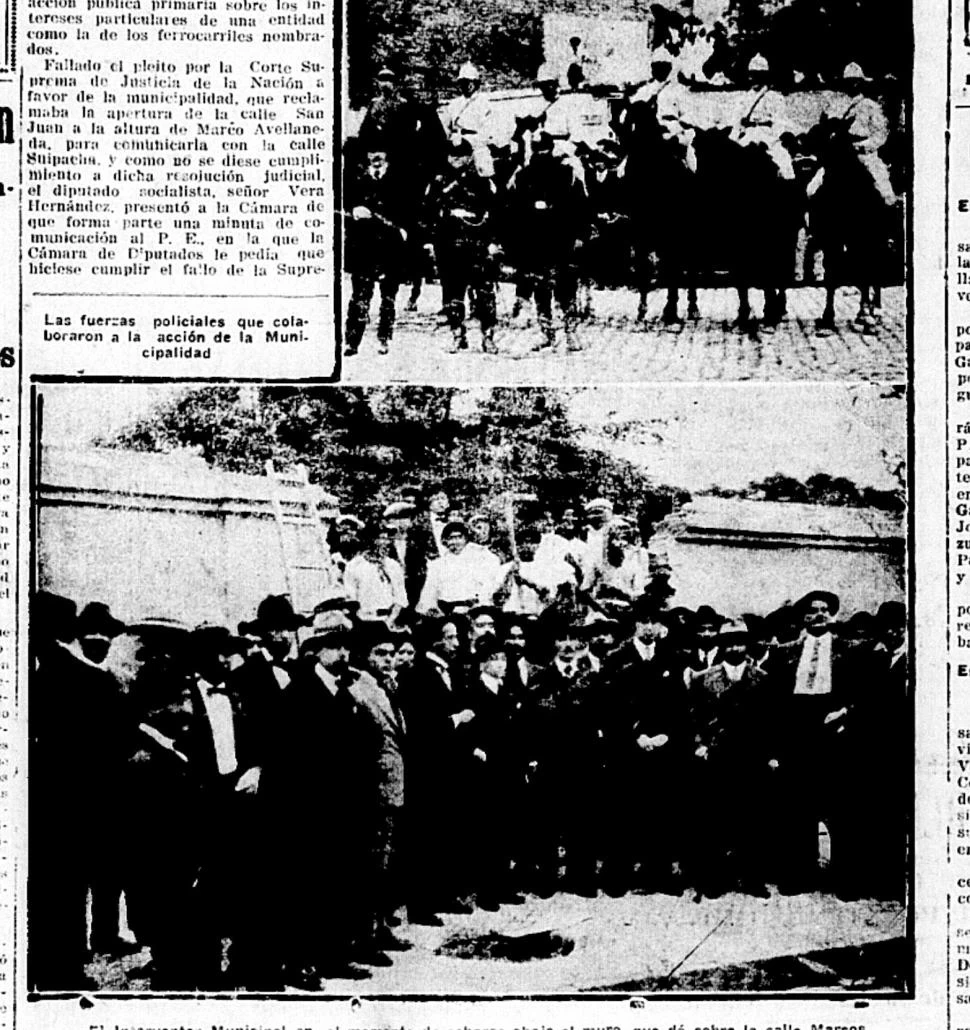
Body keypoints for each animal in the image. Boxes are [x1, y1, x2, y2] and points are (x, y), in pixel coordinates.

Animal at [691, 123, 803, 333]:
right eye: (695, 148)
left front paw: (769, 310)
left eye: (716, 150)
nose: (700, 186)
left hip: (786, 236)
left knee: (782, 269)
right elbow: (741, 280)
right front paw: (744, 312)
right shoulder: (736, 244)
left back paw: (778, 306)